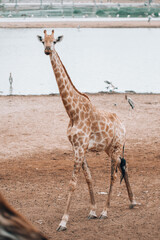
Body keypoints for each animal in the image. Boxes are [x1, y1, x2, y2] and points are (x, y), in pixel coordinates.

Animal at [37, 29, 136, 232]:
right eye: (43, 41)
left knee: (113, 175)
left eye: (54, 41)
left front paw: (63, 222)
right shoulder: (76, 146)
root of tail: (123, 125)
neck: (72, 111)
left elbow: (73, 182)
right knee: (124, 164)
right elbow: (88, 178)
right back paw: (132, 201)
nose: (47, 50)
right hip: (109, 148)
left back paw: (106, 211)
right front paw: (91, 211)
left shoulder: (81, 147)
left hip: (116, 147)